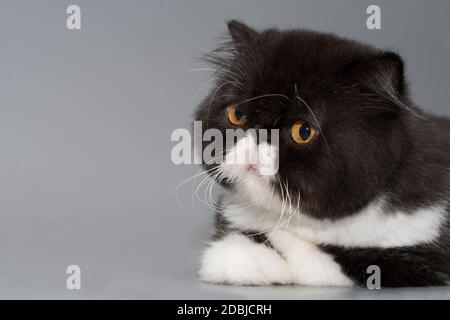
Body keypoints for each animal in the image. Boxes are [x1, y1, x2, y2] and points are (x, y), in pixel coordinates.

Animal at [193, 20, 450, 288]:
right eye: (238, 114)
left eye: (304, 131)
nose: (257, 140)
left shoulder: (425, 256)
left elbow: (325, 255)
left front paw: (280, 240)